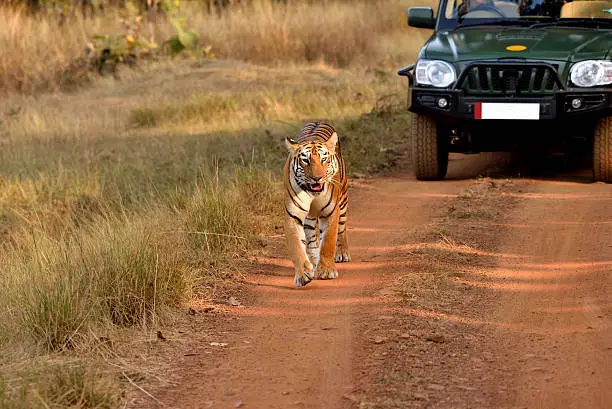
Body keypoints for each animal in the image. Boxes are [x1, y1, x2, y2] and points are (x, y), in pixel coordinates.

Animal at [282, 121, 350, 286]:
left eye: (323, 159)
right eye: (305, 160)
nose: (317, 178)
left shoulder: (331, 212)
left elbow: (328, 241)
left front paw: (326, 271)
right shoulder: (293, 215)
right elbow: (297, 246)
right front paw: (303, 274)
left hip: (343, 201)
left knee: (342, 229)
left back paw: (342, 253)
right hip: (309, 218)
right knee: (312, 239)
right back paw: (313, 262)